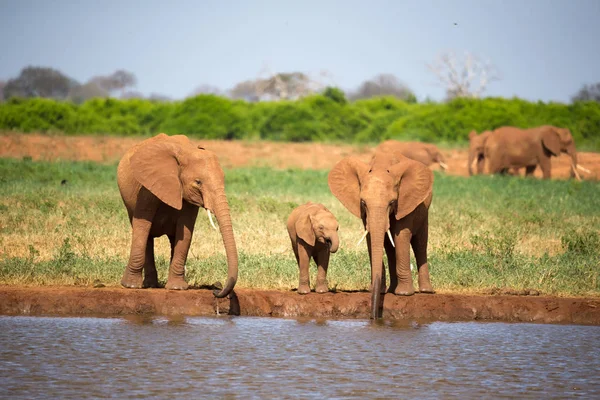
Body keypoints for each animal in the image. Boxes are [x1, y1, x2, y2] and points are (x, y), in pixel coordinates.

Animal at [116, 133, 238, 298]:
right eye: (198, 182)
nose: (216, 290)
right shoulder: (147, 186)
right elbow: (142, 225)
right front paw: (130, 286)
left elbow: (185, 230)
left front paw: (177, 288)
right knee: (145, 234)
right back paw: (149, 285)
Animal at [328, 152, 432, 320]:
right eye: (363, 202)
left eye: (392, 202)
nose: (373, 317)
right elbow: (372, 237)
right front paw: (380, 290)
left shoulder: (405, 201)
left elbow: (401, 236)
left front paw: (404, 294)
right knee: (390, 248)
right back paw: (391, 290)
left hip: (423, 210)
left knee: (420, 244)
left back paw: (425, 291)